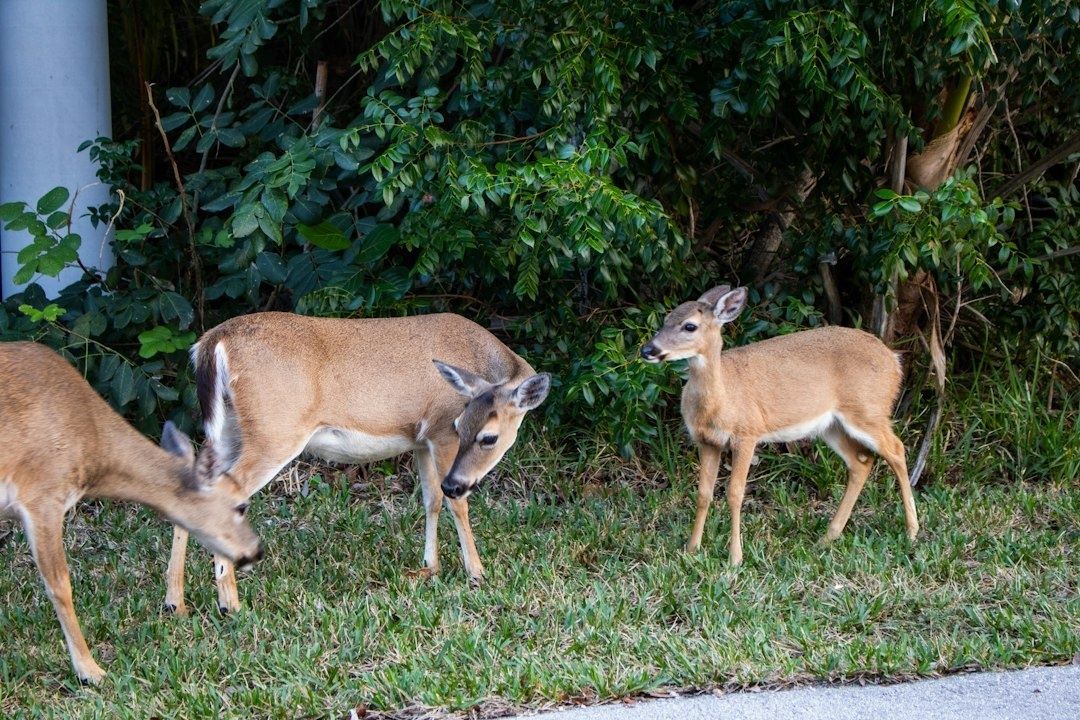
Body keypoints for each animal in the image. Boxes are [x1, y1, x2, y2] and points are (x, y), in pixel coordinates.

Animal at [163, 311, 551, 615]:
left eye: (487, 436)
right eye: (464, 427)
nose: (458, 482)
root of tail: (212, 342)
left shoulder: (422, 438)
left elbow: (431, 499)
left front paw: (430, 567)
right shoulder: (440, 432)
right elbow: (456, 504)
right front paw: (477, 573)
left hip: (227, 429)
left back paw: (176, 603)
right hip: (274, 430)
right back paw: (230, 604)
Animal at [640, 285, 919, 565]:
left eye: (690, 326)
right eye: (666, 319)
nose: (647, 350)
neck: (722, 400)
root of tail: (894, 360)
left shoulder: (747, 433)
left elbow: (735, 493)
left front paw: (735, 558)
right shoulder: (707, 441)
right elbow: (703, 493)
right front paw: (691, 549)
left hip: (868, 409)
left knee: (896, 449)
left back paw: (912, 531)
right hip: (830, 426)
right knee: (861, 462)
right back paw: (828, 536)